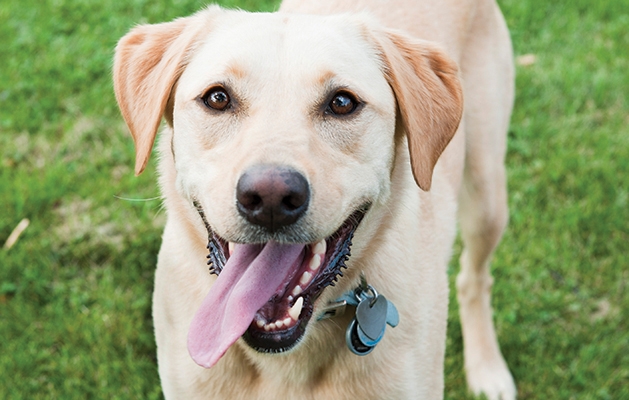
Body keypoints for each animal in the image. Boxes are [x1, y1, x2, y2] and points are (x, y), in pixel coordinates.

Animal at [114, 0, 516, 396]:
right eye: (217, 98)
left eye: (342, 103)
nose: (270, 198)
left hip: (488, 198)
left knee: (474, 280)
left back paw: (487, 368)